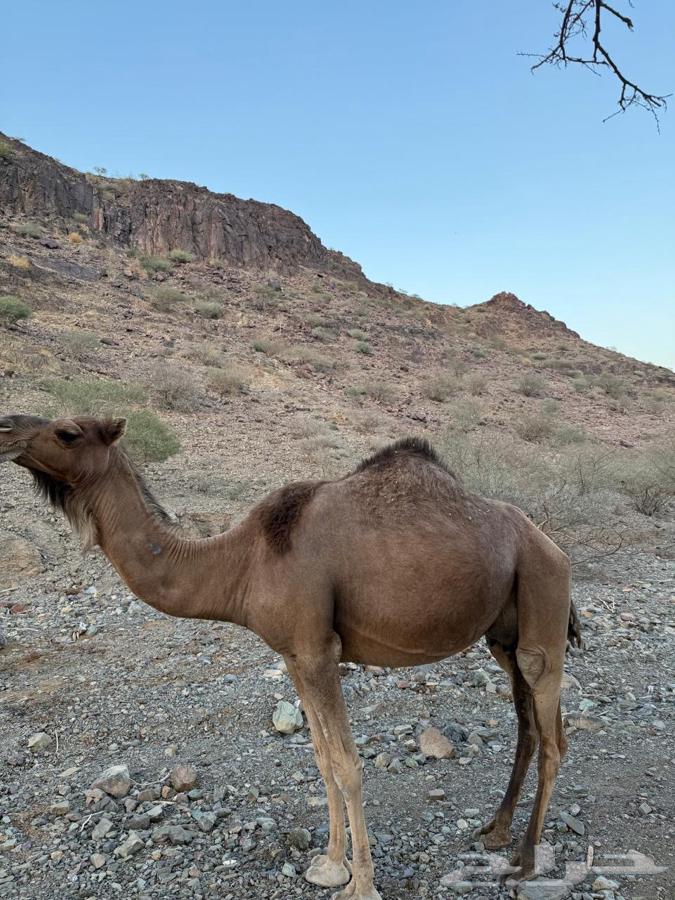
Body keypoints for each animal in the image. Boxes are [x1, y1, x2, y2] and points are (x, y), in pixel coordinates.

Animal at [0, 414, 581, 899]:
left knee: (553, 735)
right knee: (529, 724)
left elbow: (347, 764)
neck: (242, 561)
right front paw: (328, 866)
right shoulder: (294, 655)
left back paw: (527, 861)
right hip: (501, 635)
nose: (6, 427)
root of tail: (552, 545)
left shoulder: (319, 651)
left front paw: (361, 887)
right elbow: (322, 759)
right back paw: (496, 831)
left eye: (68, 433)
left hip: (543, 598)